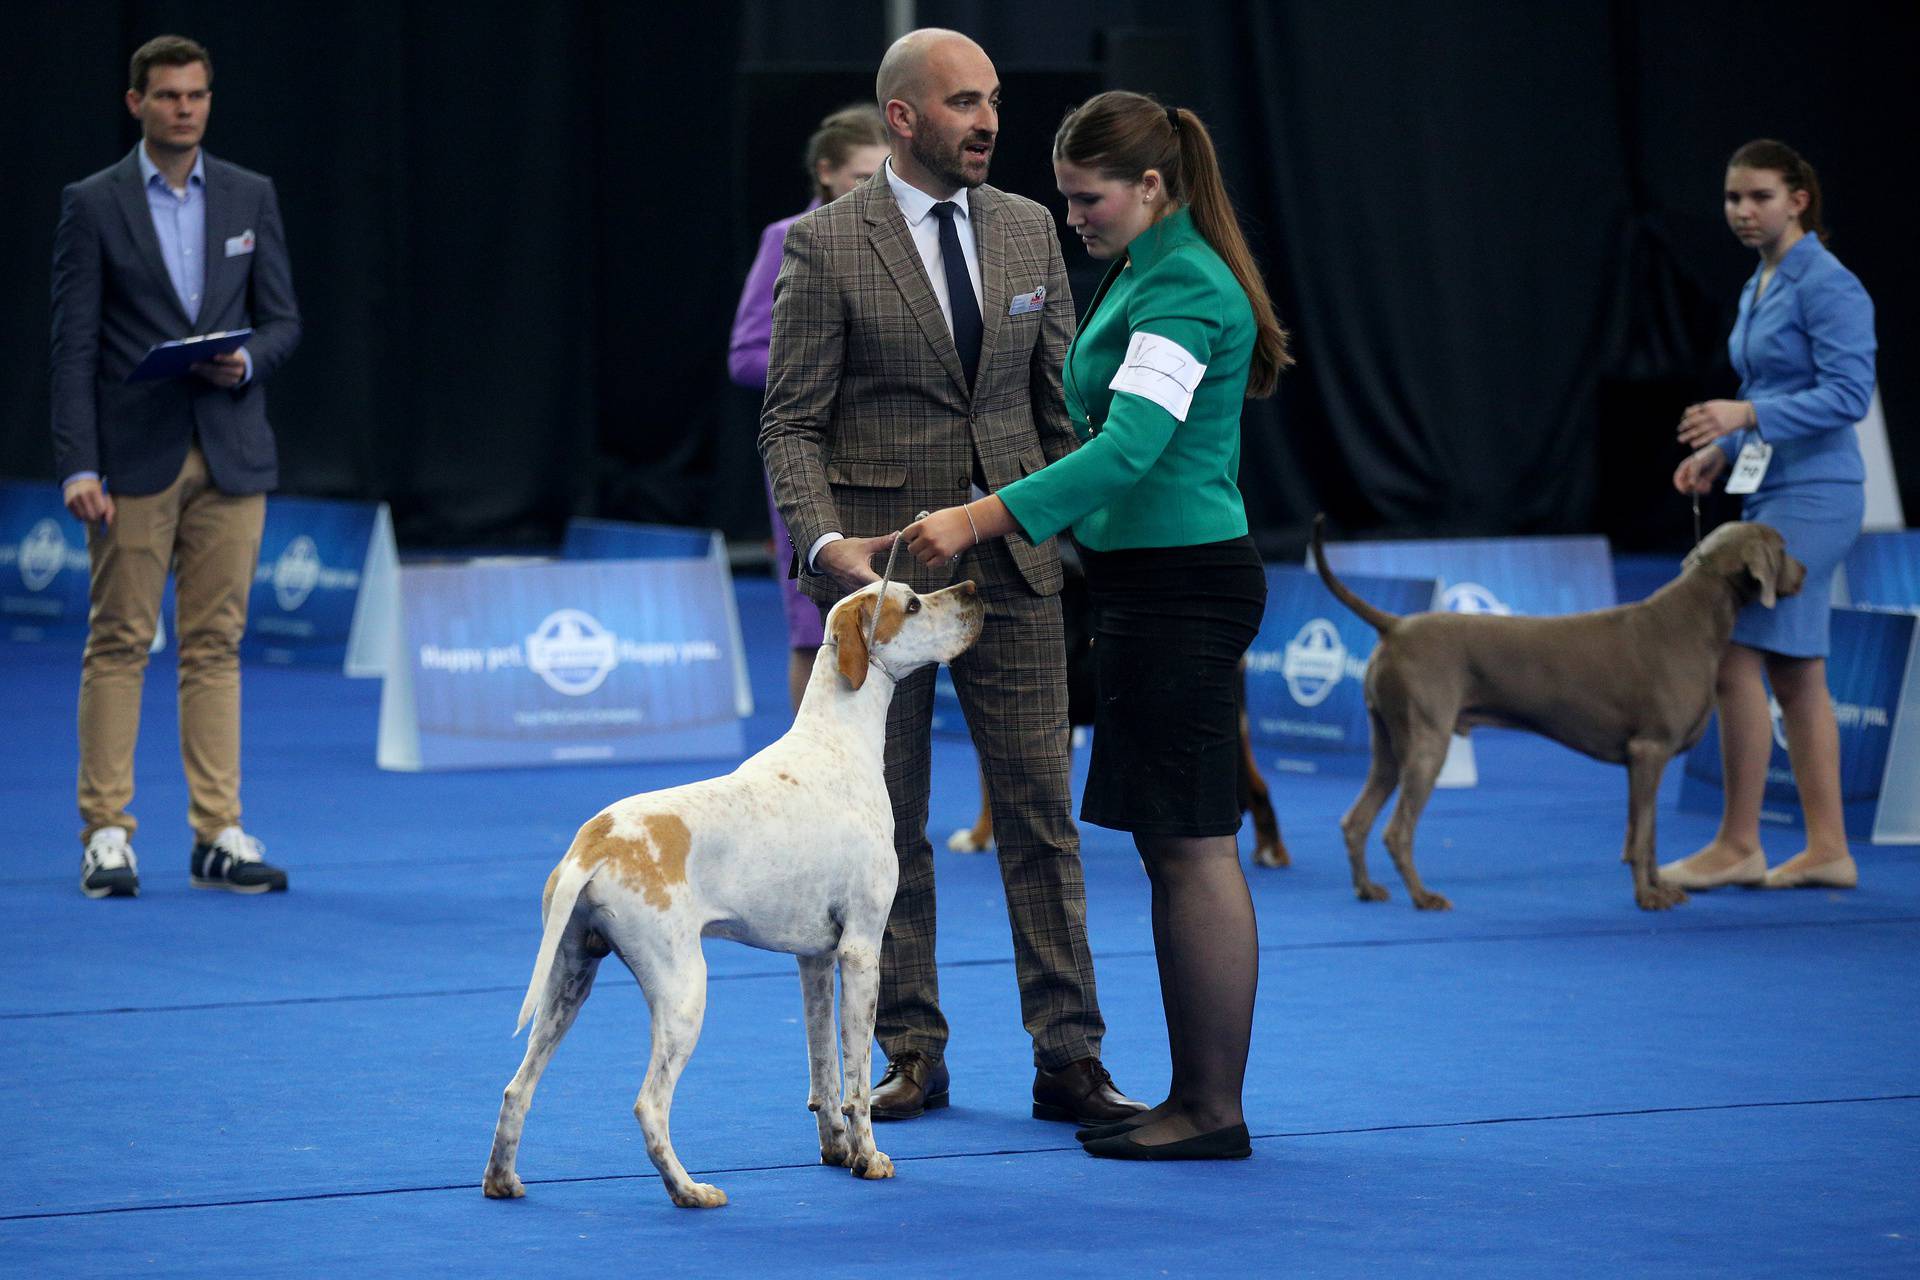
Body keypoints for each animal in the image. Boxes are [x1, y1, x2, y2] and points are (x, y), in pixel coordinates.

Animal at [487, 579, 983, 1212]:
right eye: (913, 603)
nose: (971, 588)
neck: (838, 742)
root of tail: (594, 843)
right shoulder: (861, 950)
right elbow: (854, 1080)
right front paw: (868, 1159)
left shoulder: (815, 960)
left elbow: (823, 1072)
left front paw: (836, 1150)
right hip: (682, 993)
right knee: (649, 1106)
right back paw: (689, 1191)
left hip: (568, 979)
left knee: (516, 1088)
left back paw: (502, 1181)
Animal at [1305, 514, 1797, 917]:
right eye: (1783, 546)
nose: (1806, 572)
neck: (1695, 619)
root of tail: (1396, 625)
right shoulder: (1648, 750)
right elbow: (1640, 838)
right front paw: (1647, 897)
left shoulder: (1648, 761)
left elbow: (1650, 832)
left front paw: (1660, 889)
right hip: (1427, 743)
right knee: (1396, 831)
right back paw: (1423, 897)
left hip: (1388, 743)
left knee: (1355, 821)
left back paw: (1367, 889)